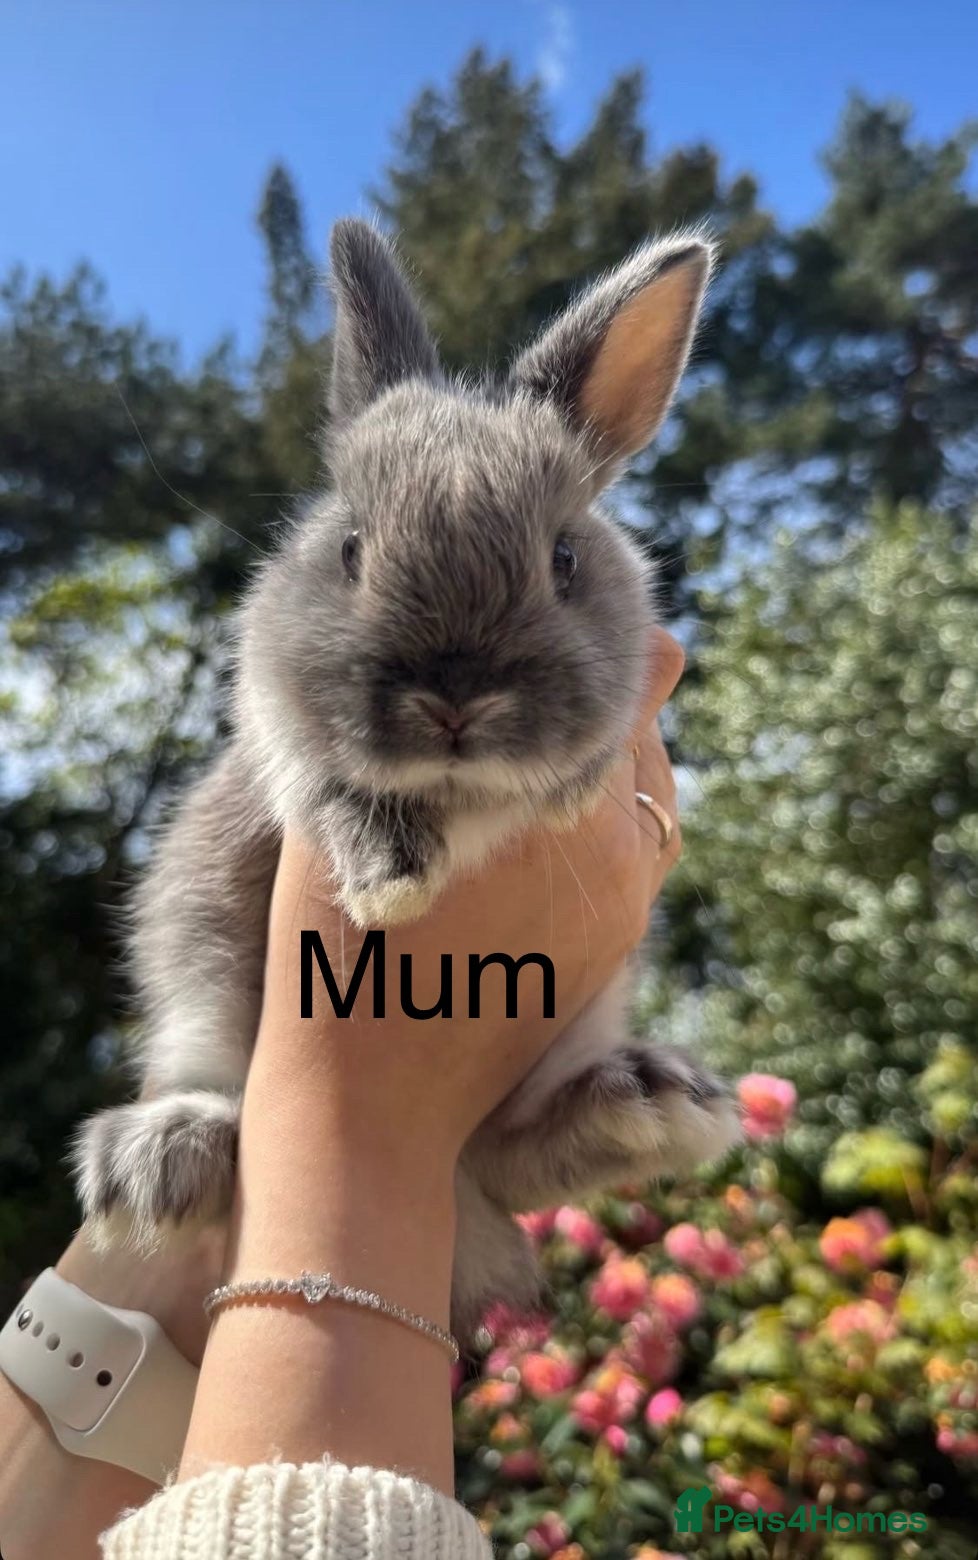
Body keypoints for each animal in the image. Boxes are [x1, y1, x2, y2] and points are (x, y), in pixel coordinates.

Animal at [72, 219, 741, 1339]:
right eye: (350, 549)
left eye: (565, 558)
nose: (455, 701)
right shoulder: (276, 738)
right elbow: (333, 787)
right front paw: (394, 879)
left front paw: (564, 785)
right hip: (198, 982)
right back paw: (160, 1154)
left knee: (517, 1158)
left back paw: (657, 1102)